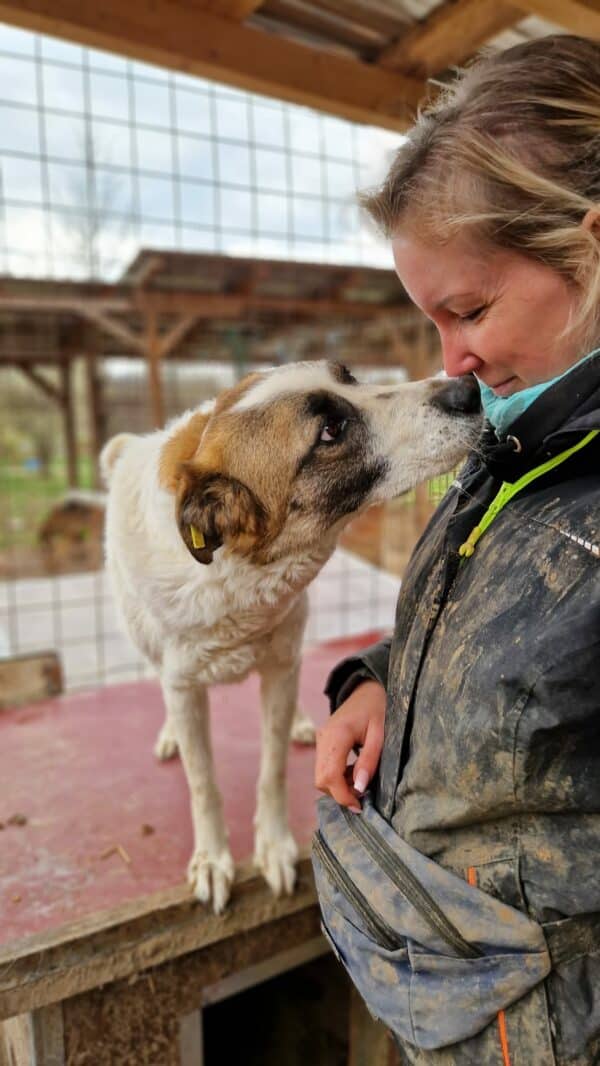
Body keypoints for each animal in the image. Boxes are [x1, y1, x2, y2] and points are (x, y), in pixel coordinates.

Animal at [100, 364, 481, 908]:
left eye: (350, 377)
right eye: (330, 432)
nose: (468, 389)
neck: (234, 571)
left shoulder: (280, 667)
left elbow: (273, 766)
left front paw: (275, 844)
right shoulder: (185, 685)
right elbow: (203, 783)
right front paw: (213, 858)